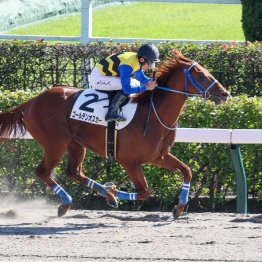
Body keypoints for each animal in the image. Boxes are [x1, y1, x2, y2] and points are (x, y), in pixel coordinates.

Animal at [0, 49, 229, 219]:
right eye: (200, 74)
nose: (224, 93)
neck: (153, 113)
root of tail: (32, 101)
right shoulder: (129, 161)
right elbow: (145, 191)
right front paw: (114, 191)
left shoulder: (159, 156)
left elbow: (187, 171)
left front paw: (179, 207)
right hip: (55, 143)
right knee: (43, 172)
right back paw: (67, 203)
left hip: (76, 144)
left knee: (74, 172)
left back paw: (97, 197)